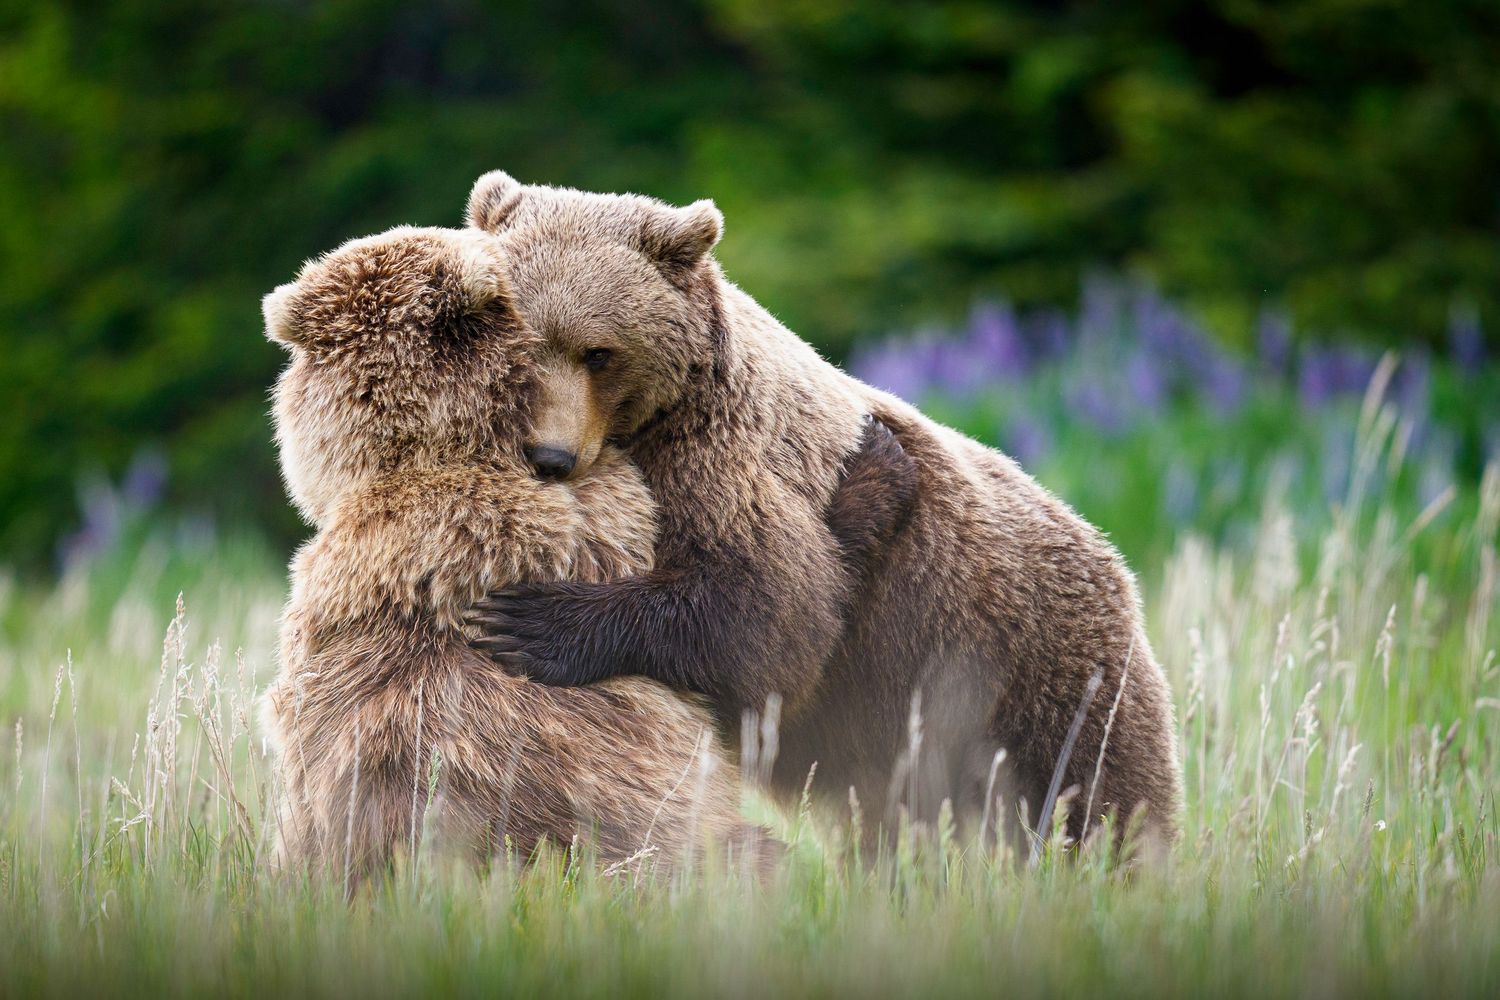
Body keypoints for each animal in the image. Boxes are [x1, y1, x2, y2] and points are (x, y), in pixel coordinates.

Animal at [460, 171, 1183, 850]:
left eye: (599, 352)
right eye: (523, 345)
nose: (552, 456)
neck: (651, 425)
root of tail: (1114, 559)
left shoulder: (722, 460)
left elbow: (768, 617)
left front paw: (533, 621)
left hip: (1035, 668)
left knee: (1097, 793)